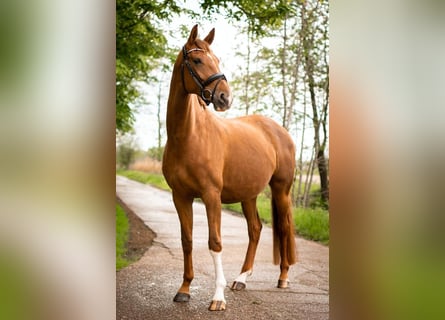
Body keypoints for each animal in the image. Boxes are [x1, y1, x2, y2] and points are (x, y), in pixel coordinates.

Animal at [161, 25, 296, 312]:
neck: (189, 135)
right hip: (249, 195)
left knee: (284, 227)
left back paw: (282, 278)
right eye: (197, 60)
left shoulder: (211, 196)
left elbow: (215, 242)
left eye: (217, 60)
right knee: (255, 229)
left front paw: (217, 298)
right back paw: (241, 278)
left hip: (281, 191)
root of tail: (279, 131)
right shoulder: (180, 196)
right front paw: (184, 290)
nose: (225, 97)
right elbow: (187, 241)